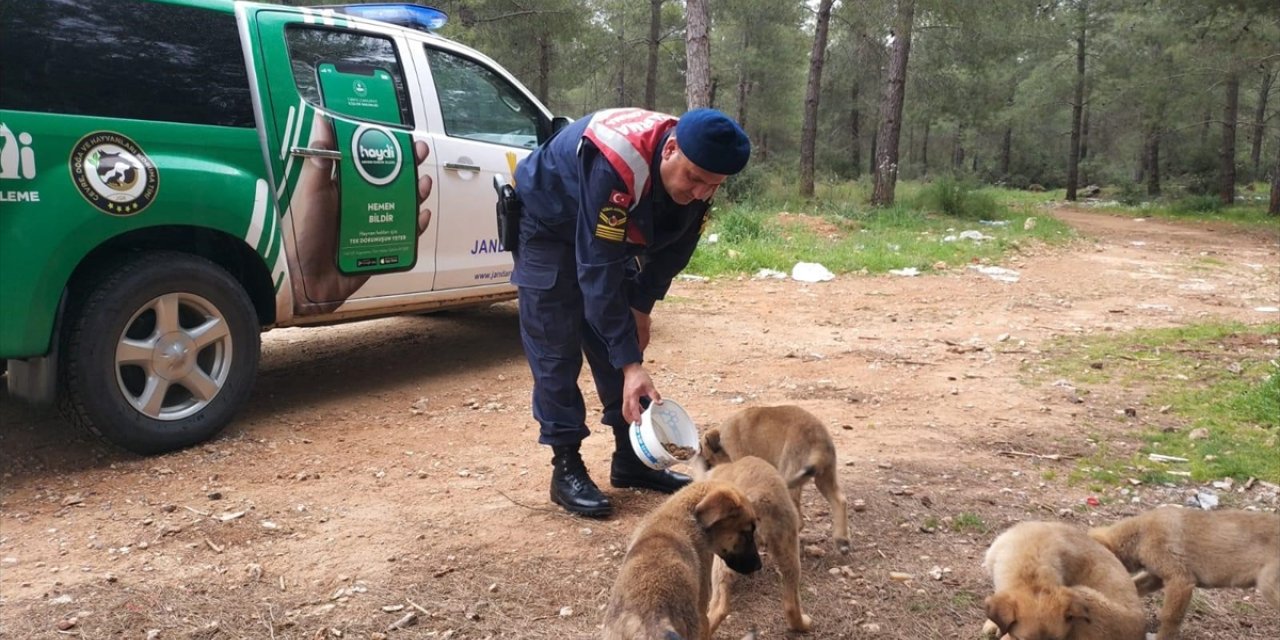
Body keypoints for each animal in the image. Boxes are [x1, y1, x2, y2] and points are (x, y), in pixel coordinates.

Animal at [701, 407, 849, 552]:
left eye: (708, 460)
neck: (722, 437)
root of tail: (818, 440)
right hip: (825, 475)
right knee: (839, 500)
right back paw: (842, 540)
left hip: (791, 472)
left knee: (798, 519)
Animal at [701, 458, 808, 632]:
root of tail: (762, 497)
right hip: (789, 550)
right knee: (791, 603)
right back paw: (802, 624)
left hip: (726, 558)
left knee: (720, 607)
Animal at [1090, 504, 1280, 640]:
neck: (1140, 535)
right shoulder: (1156, 577)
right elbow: (1133, 586)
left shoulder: (1180, 580)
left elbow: (1170, 618)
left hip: (1268, 586)